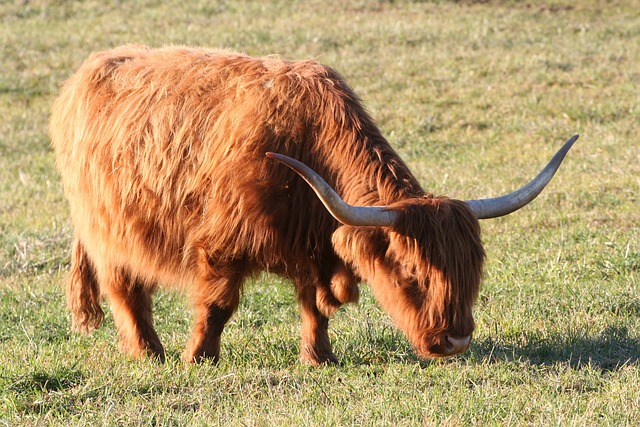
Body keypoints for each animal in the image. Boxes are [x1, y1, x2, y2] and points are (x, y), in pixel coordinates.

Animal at [52, 44, 576, 364]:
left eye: (473, 269)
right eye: (412, 271)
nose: (457, 339)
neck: (303, 148)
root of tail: (91, 68)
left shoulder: (316, 246)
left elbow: (315, 305)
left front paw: (319, 357)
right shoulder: (222, 244)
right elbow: (218, 305)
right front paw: (198, 358)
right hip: (107, 228)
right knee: (125, 288)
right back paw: (149, 352)